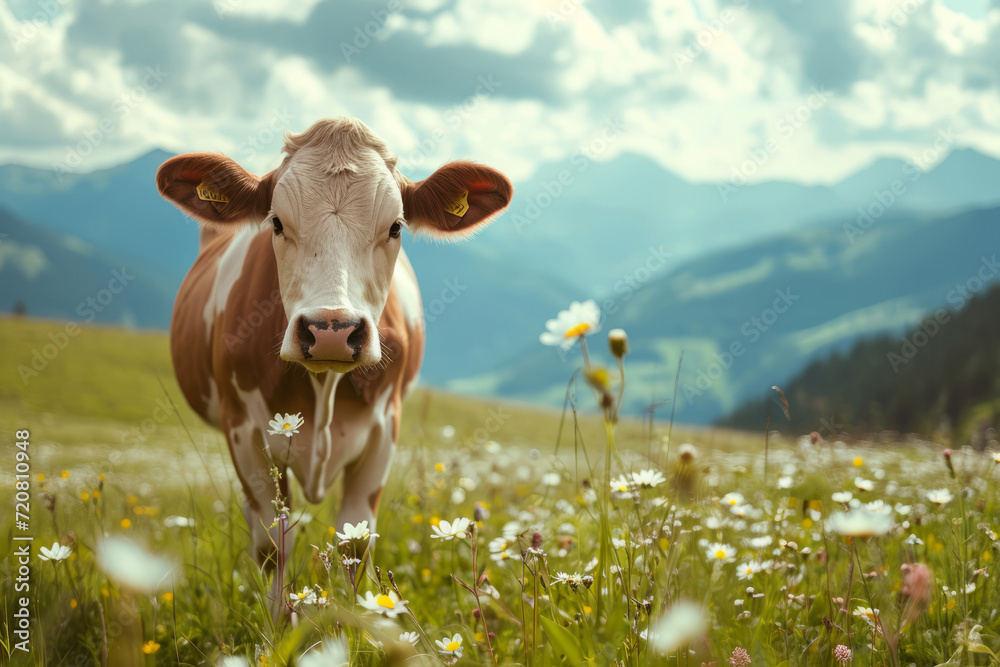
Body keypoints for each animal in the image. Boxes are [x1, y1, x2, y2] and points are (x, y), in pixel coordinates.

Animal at [156, 117, 516, 604]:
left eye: (396, 227)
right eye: (276, 222)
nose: (332, 330)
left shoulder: (385, 429)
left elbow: (355, 543)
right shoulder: (242, 429)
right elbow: (272, 545)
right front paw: (277, 624)